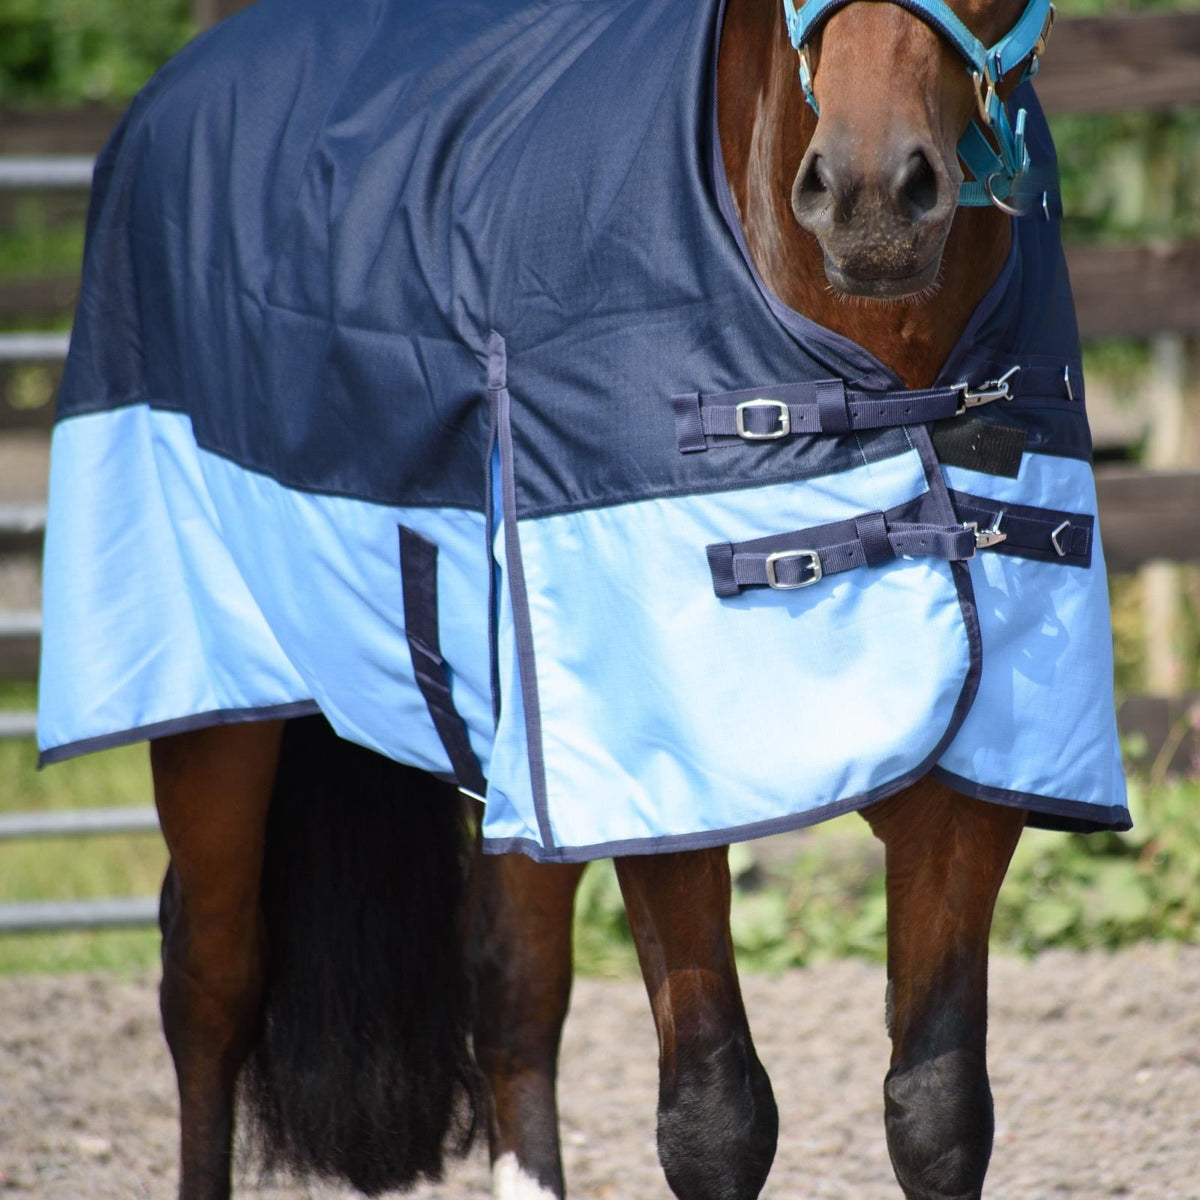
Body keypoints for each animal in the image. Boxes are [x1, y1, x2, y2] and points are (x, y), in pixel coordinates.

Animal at [38, 0, 1127, 1197]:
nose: (872, 195)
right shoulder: (662, 796)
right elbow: (715, 1117)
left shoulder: (971, 796)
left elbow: (936, 1112)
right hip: (214, 713)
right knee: (211, 987)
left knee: (513, 994)